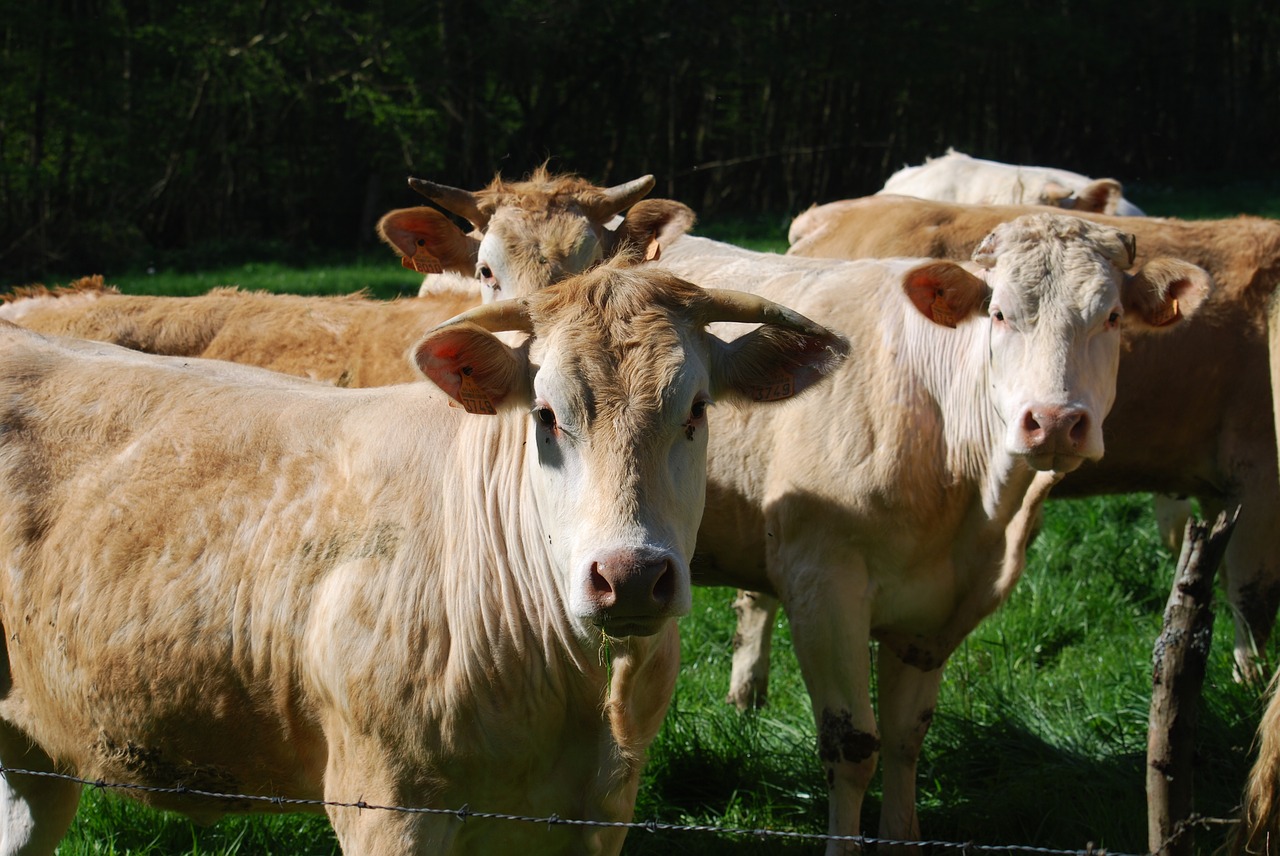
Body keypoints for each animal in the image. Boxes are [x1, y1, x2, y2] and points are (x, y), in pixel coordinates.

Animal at [650, 213, 1208, 849]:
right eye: (999, 314)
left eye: (1111, 316)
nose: (1055, 422)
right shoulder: (822, 584)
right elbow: (853, 748)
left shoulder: (934, 614)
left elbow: (905, 738)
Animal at [783, 193, 1280, 685]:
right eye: (999, 314)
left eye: (1113, 316)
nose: (1055, 421)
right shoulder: (1259, 482)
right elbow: (1253, 598)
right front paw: (1251, 683)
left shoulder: (1225, 493)